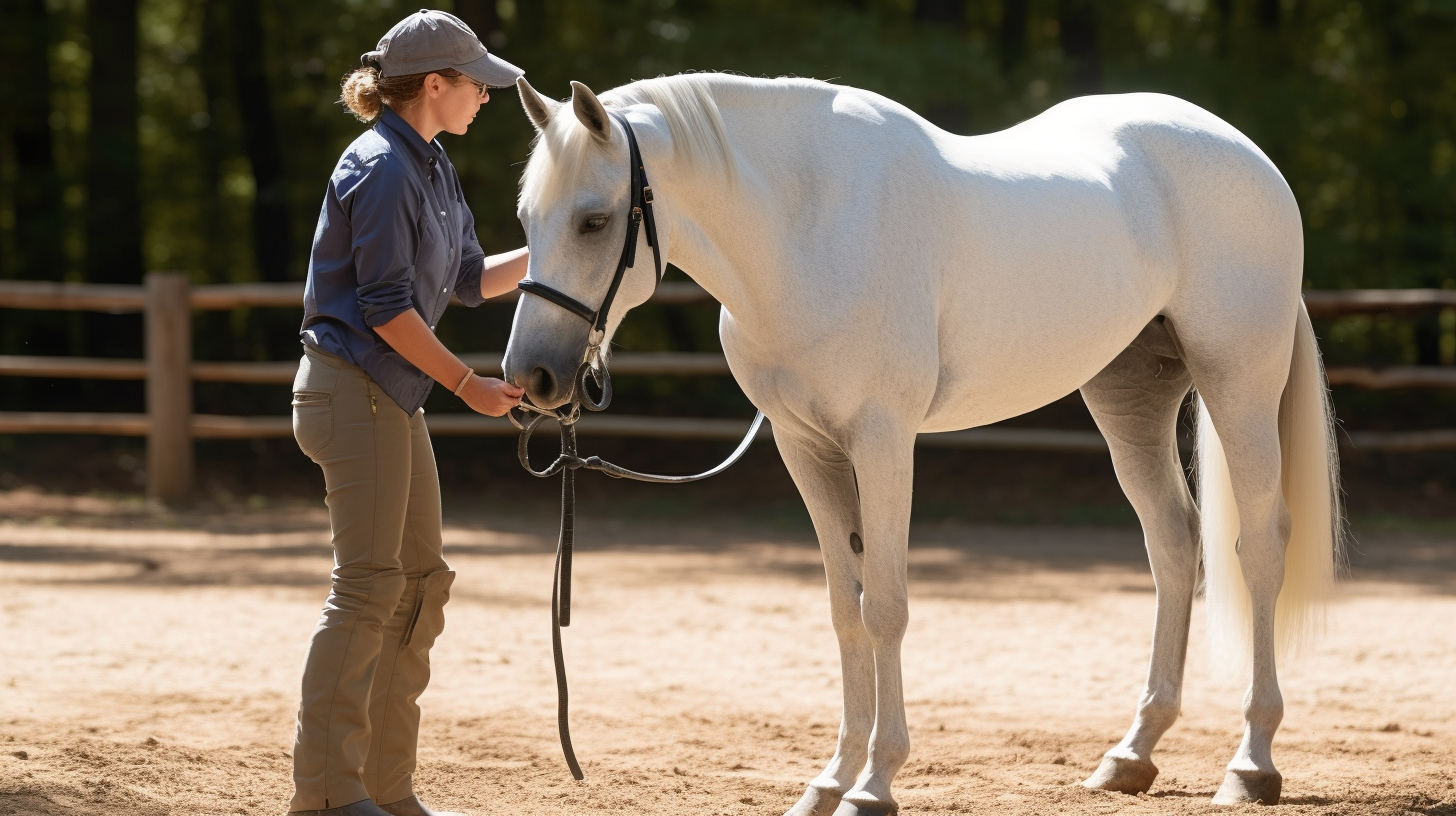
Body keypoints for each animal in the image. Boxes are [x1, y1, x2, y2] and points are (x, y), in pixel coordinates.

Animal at [500, 73, 1339, 810]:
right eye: (527, 221)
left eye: (594, 220)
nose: (532, 377)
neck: (809, 228)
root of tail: (1248, 155)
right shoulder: (805, 448)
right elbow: (845, 610)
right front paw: (829, 781)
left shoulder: (882, 440)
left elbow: (886, 609)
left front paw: (874, 786)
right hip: (1129, 394)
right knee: (1172, 541)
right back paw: (1130, 756)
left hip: (1238, 381)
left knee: (1259, 545)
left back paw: (1251, 764)